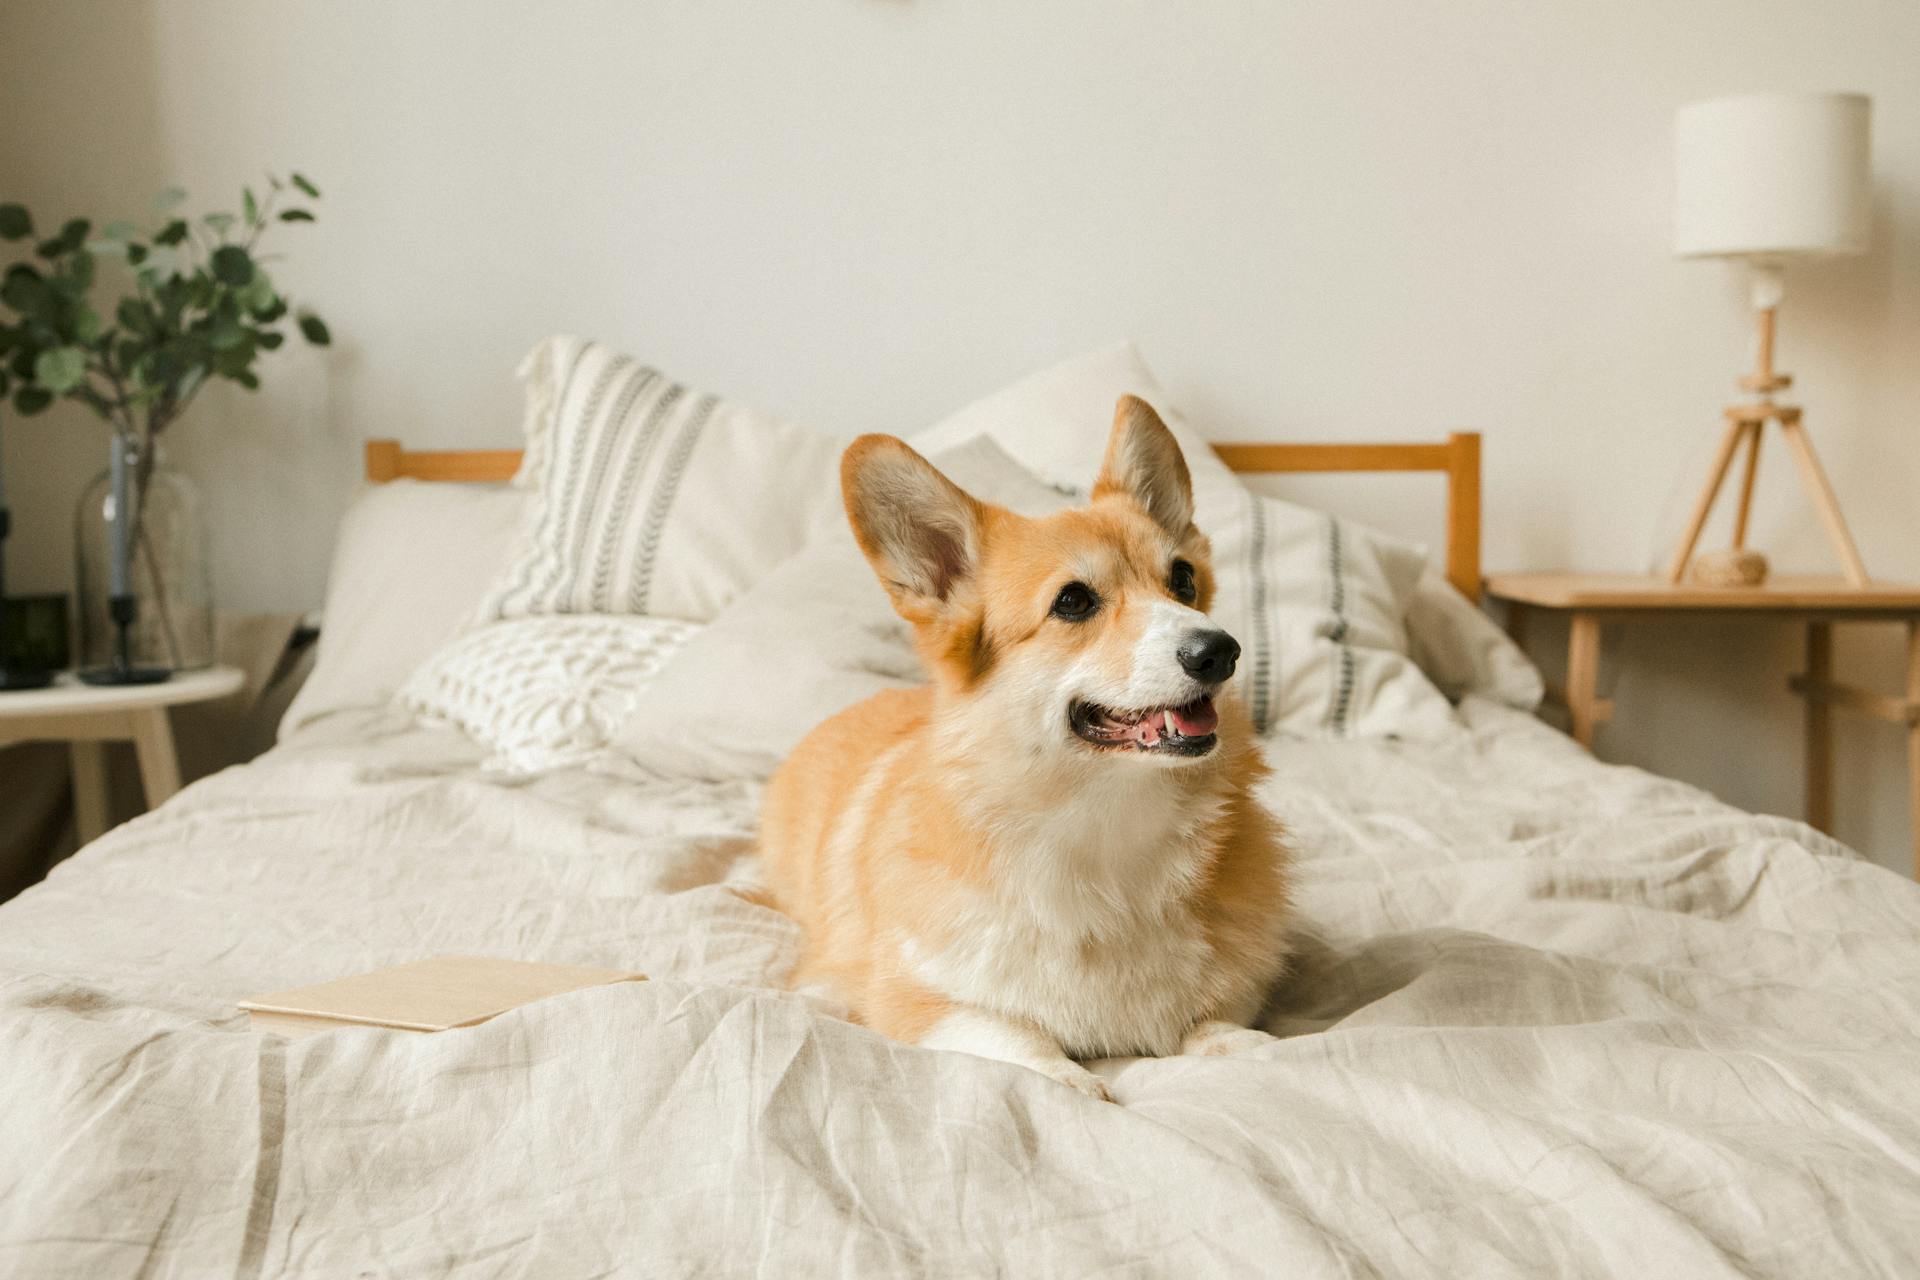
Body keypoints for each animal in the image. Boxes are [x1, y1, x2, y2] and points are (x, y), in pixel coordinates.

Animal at [760, 401, 1290, 1105]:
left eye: (1182, 580)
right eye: (1074, 601)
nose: (1220, 651)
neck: (1105, 826)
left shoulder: (1234, 989)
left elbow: (1214, 1021)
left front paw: (1247, 1047)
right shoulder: (915, 999)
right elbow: (1013, 1034)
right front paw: (1069, 1079)